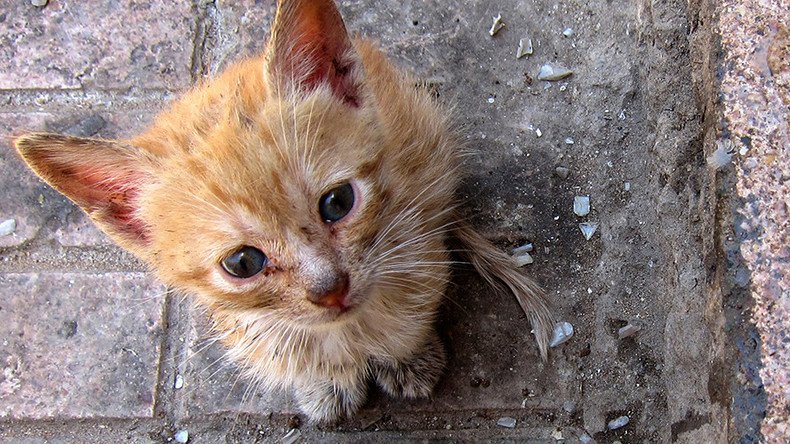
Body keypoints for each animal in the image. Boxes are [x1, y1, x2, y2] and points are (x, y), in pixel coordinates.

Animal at [13, 0, 556, 424]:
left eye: (338, 203)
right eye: (243, 263)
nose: (330, 289)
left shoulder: (416, 234)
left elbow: (412, 306)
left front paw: (407, 356)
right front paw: (326, 382)